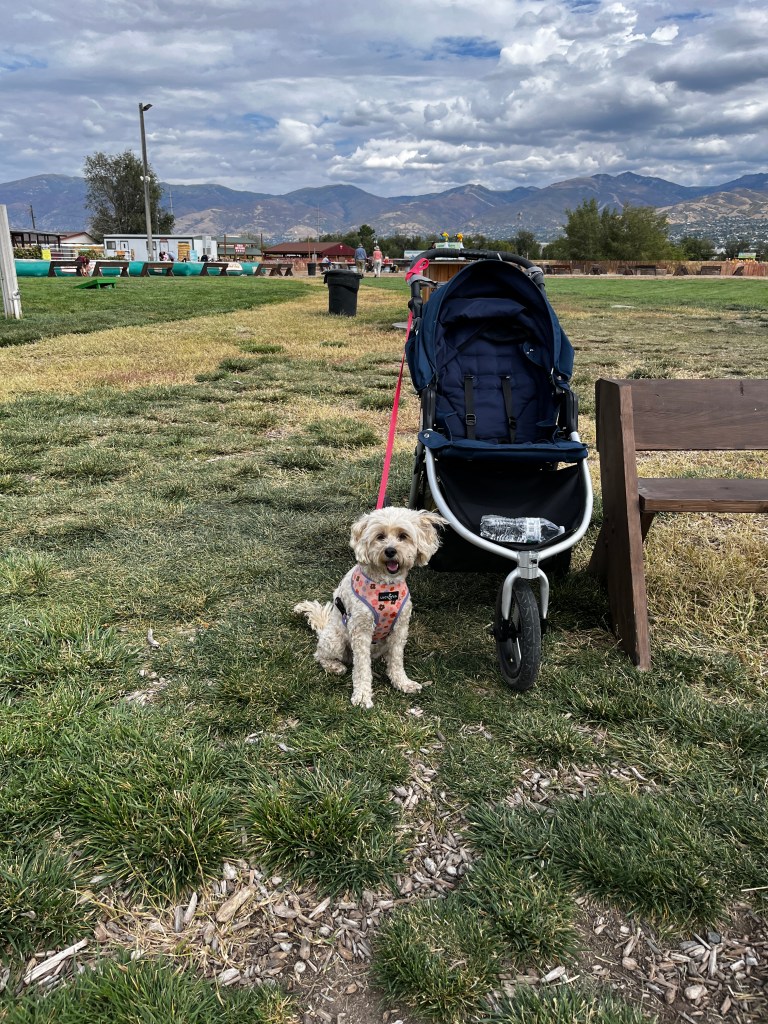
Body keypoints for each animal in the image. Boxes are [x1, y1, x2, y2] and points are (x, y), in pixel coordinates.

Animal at [294, 507, 446, 708]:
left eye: (403, 536)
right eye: (380, 536)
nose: (390, 551)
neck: (386, 588)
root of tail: (324, 629)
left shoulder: (400, 630)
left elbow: (397, 660)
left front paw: (402, 682)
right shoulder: (361, 631)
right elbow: (361, 667)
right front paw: (362, 695)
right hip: (335, 640)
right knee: (320, 655)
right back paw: (335, 666)